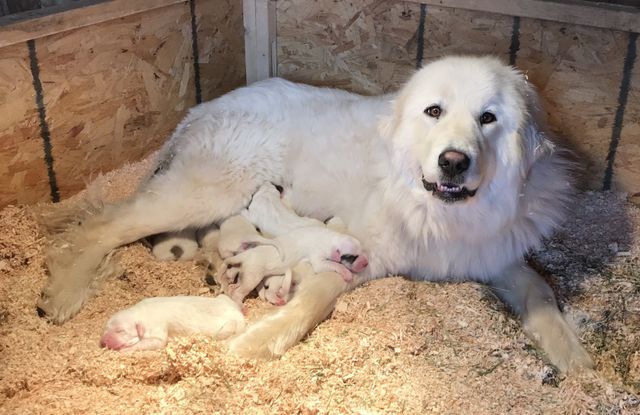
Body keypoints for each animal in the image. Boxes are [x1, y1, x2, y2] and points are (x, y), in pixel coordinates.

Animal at [100, 294, 245, 352]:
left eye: (120, 330)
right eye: (106, 327)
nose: (104, 340)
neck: (139, 313)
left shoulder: (156, 328)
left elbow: (158, 342)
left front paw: (125, 350)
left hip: (226, 327)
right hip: (223, 298)